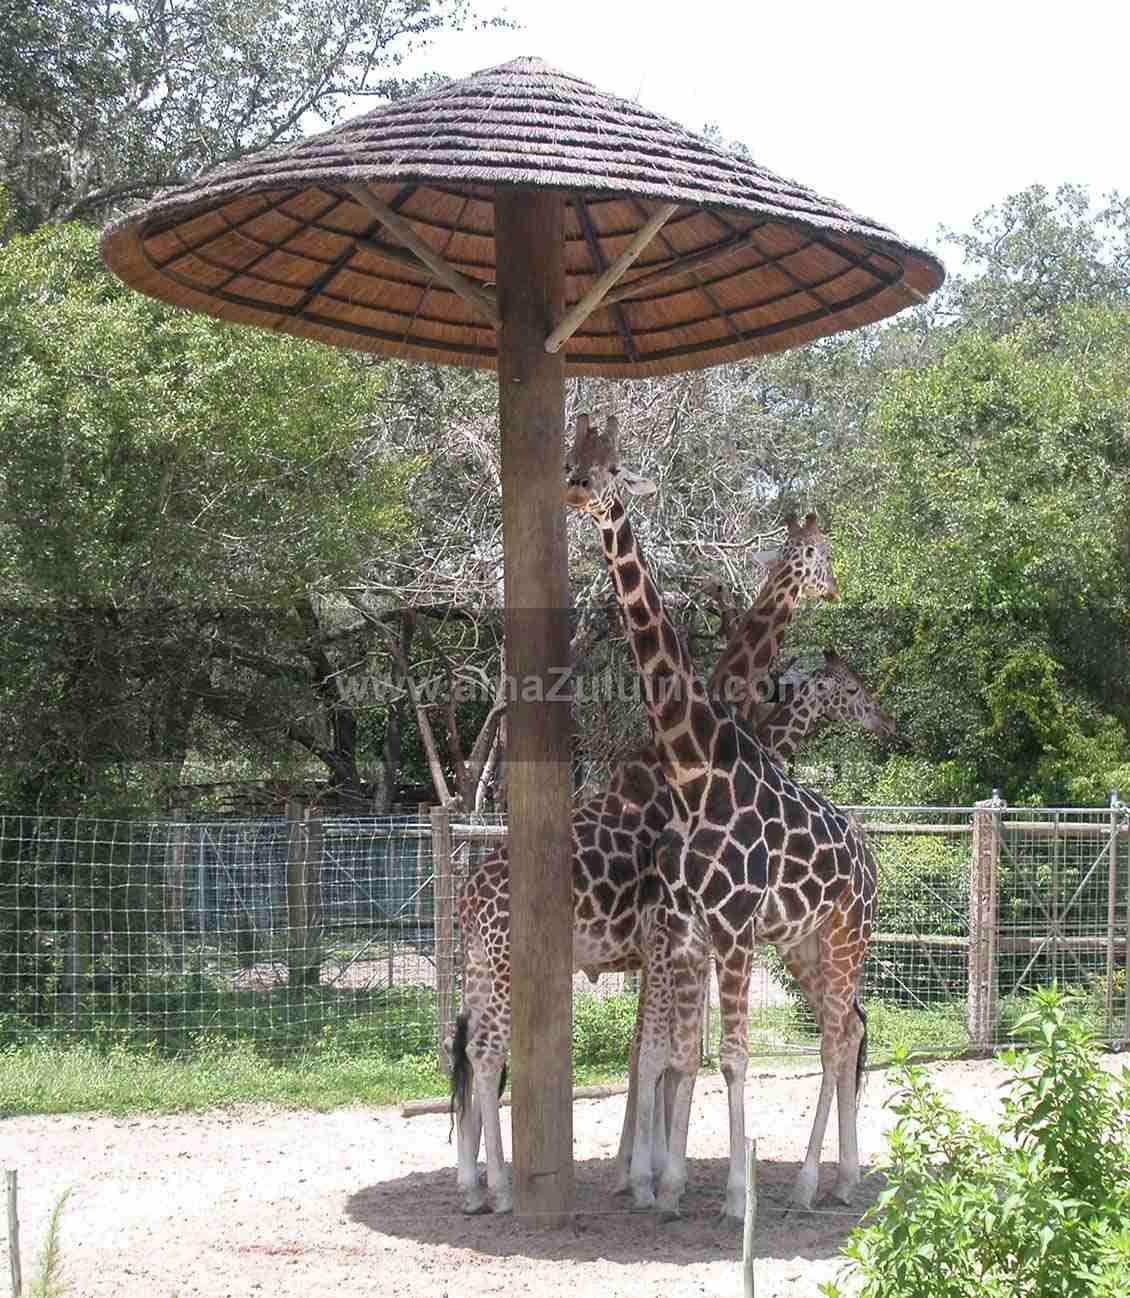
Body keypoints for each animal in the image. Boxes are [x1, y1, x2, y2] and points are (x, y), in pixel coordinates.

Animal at [446, 521, 851, 1209]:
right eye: (821, 555)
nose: (890, 722)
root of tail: (470, 893)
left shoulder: (662, 947)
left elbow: (652, 1053)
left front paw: (639, 1170)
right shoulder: (673, 939)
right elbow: (662, 1054)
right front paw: (648, 1175)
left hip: (479, 965)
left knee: (472, 1053)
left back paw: (474, 1185)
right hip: (506, 966)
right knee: (489, 1051)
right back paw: (499, 1189)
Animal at [570, 415, 877, 1214]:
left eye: (610, 466)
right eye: (574, 459)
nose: (576, 489)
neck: (698, 766)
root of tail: (871, 863)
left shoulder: (726, 929)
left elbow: (715, 1054)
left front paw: (719, 1189)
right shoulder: (689, 929)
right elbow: (682, 1051)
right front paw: (664, 1181)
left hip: (839, 938)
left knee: (840, 1034)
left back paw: (824, 1181)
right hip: (803, 946)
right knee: (842, 1032)